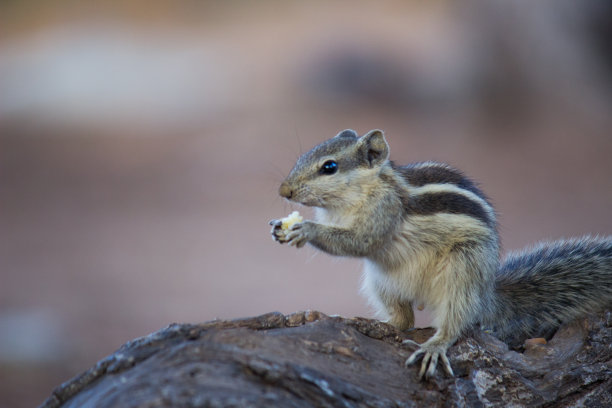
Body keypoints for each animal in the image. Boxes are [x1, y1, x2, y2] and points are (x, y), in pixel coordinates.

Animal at [270, 128, 612, 380]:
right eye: (304, 156)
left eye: (329, 167)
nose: (284, 191)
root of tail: (486, 293)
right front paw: (279, 227)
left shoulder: (385, 211)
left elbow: (360, 243)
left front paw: (306, 230)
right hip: (380, 282)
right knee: (404, 319)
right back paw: (367, 321)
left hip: (462, 269)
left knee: (456, 320)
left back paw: (435, 345)